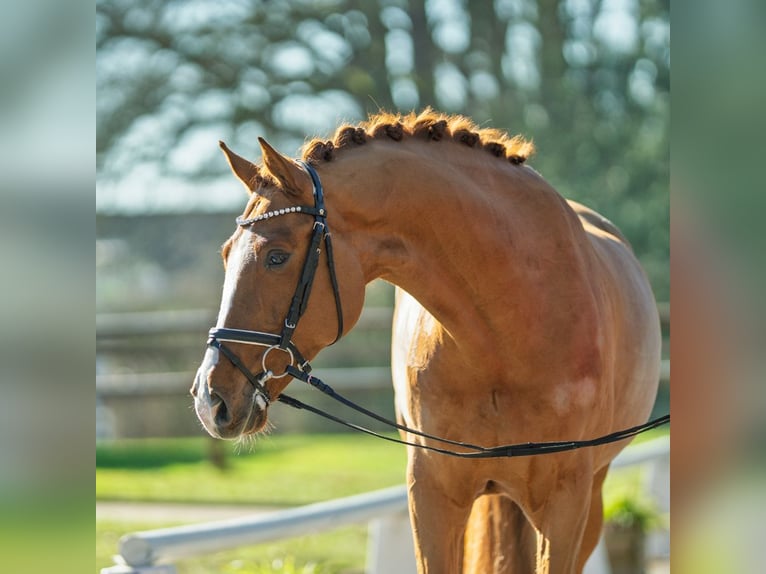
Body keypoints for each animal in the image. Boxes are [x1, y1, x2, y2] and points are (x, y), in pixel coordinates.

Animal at [191, 110, 662, 573]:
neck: (507, 338)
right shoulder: (431, 495)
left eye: (277, 256)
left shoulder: (566, 505)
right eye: (226, 254)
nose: (210, 400)